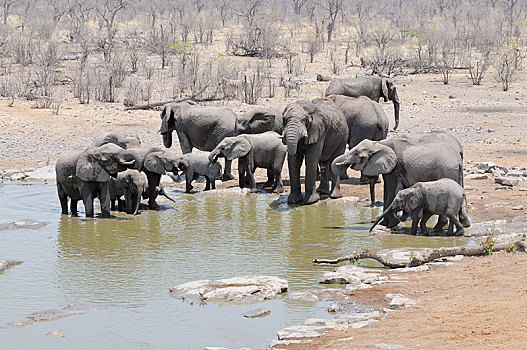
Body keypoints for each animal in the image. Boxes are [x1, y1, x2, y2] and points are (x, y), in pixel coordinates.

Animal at [332, 138, 464, 228]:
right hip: (454, 173)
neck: (380, 144)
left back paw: (439, 228)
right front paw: (386, 223)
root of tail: (458, 160)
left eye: (356, 153)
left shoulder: (395, 166)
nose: (372, 206)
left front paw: (390, 224)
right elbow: (388, 191)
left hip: (446, 171)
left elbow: (392, 191)